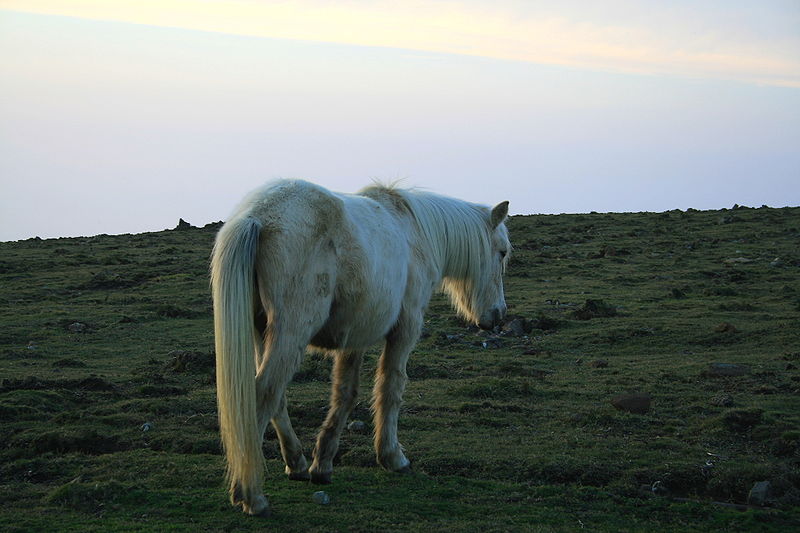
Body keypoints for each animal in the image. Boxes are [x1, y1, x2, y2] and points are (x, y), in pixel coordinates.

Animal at [210, 179, 510, 516]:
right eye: (501, 252)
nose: (498, 316)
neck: (415, 231)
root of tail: (258, 216)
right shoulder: (405, 329)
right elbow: (391, 388)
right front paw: (392, 457)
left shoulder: (353, 337)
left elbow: (345, 394)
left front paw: (323, 465)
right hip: (290, 332)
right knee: (264, 394)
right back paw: (252, 496)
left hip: (263, 333)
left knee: (276, 399)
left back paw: (296, 464)